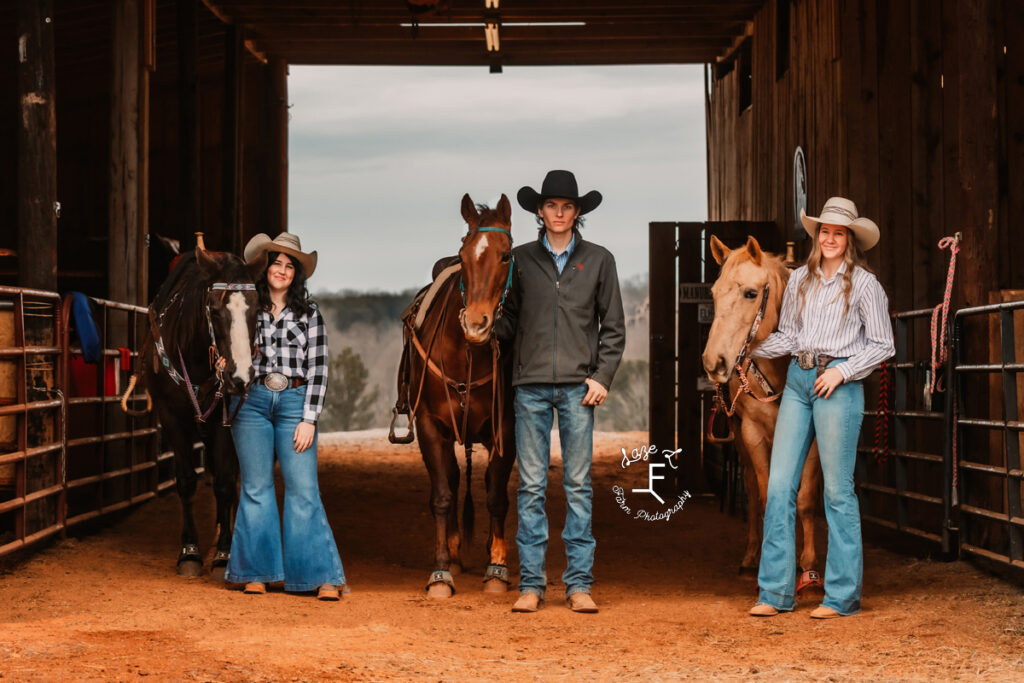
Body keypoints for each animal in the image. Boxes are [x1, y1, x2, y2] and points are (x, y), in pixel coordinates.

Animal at [122, 245, 258, 577]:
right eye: (215, 310)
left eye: (256, 310)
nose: (240, 377)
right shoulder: (171, 415)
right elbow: (185, 480)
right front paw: (190, 552)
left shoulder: (225, 418)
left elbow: (225, 482)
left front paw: (223, 553)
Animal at [391, 192, 520, 598]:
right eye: (463, 255)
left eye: (506, 255)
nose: (476, 324)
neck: (467, 355)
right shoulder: (431, 428)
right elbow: (443, 495)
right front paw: (441, 572)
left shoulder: (505, 428)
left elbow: (496, 495)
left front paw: (497, 569)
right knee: (451, 477)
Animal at [704, 236, 823, 593]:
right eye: (713, 293)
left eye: (750, 293)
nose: (714, 362)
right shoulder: (753, 433)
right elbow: (767, 495)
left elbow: (806, 500)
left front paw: (809, 566)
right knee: (755, 493)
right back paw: (750, 557)